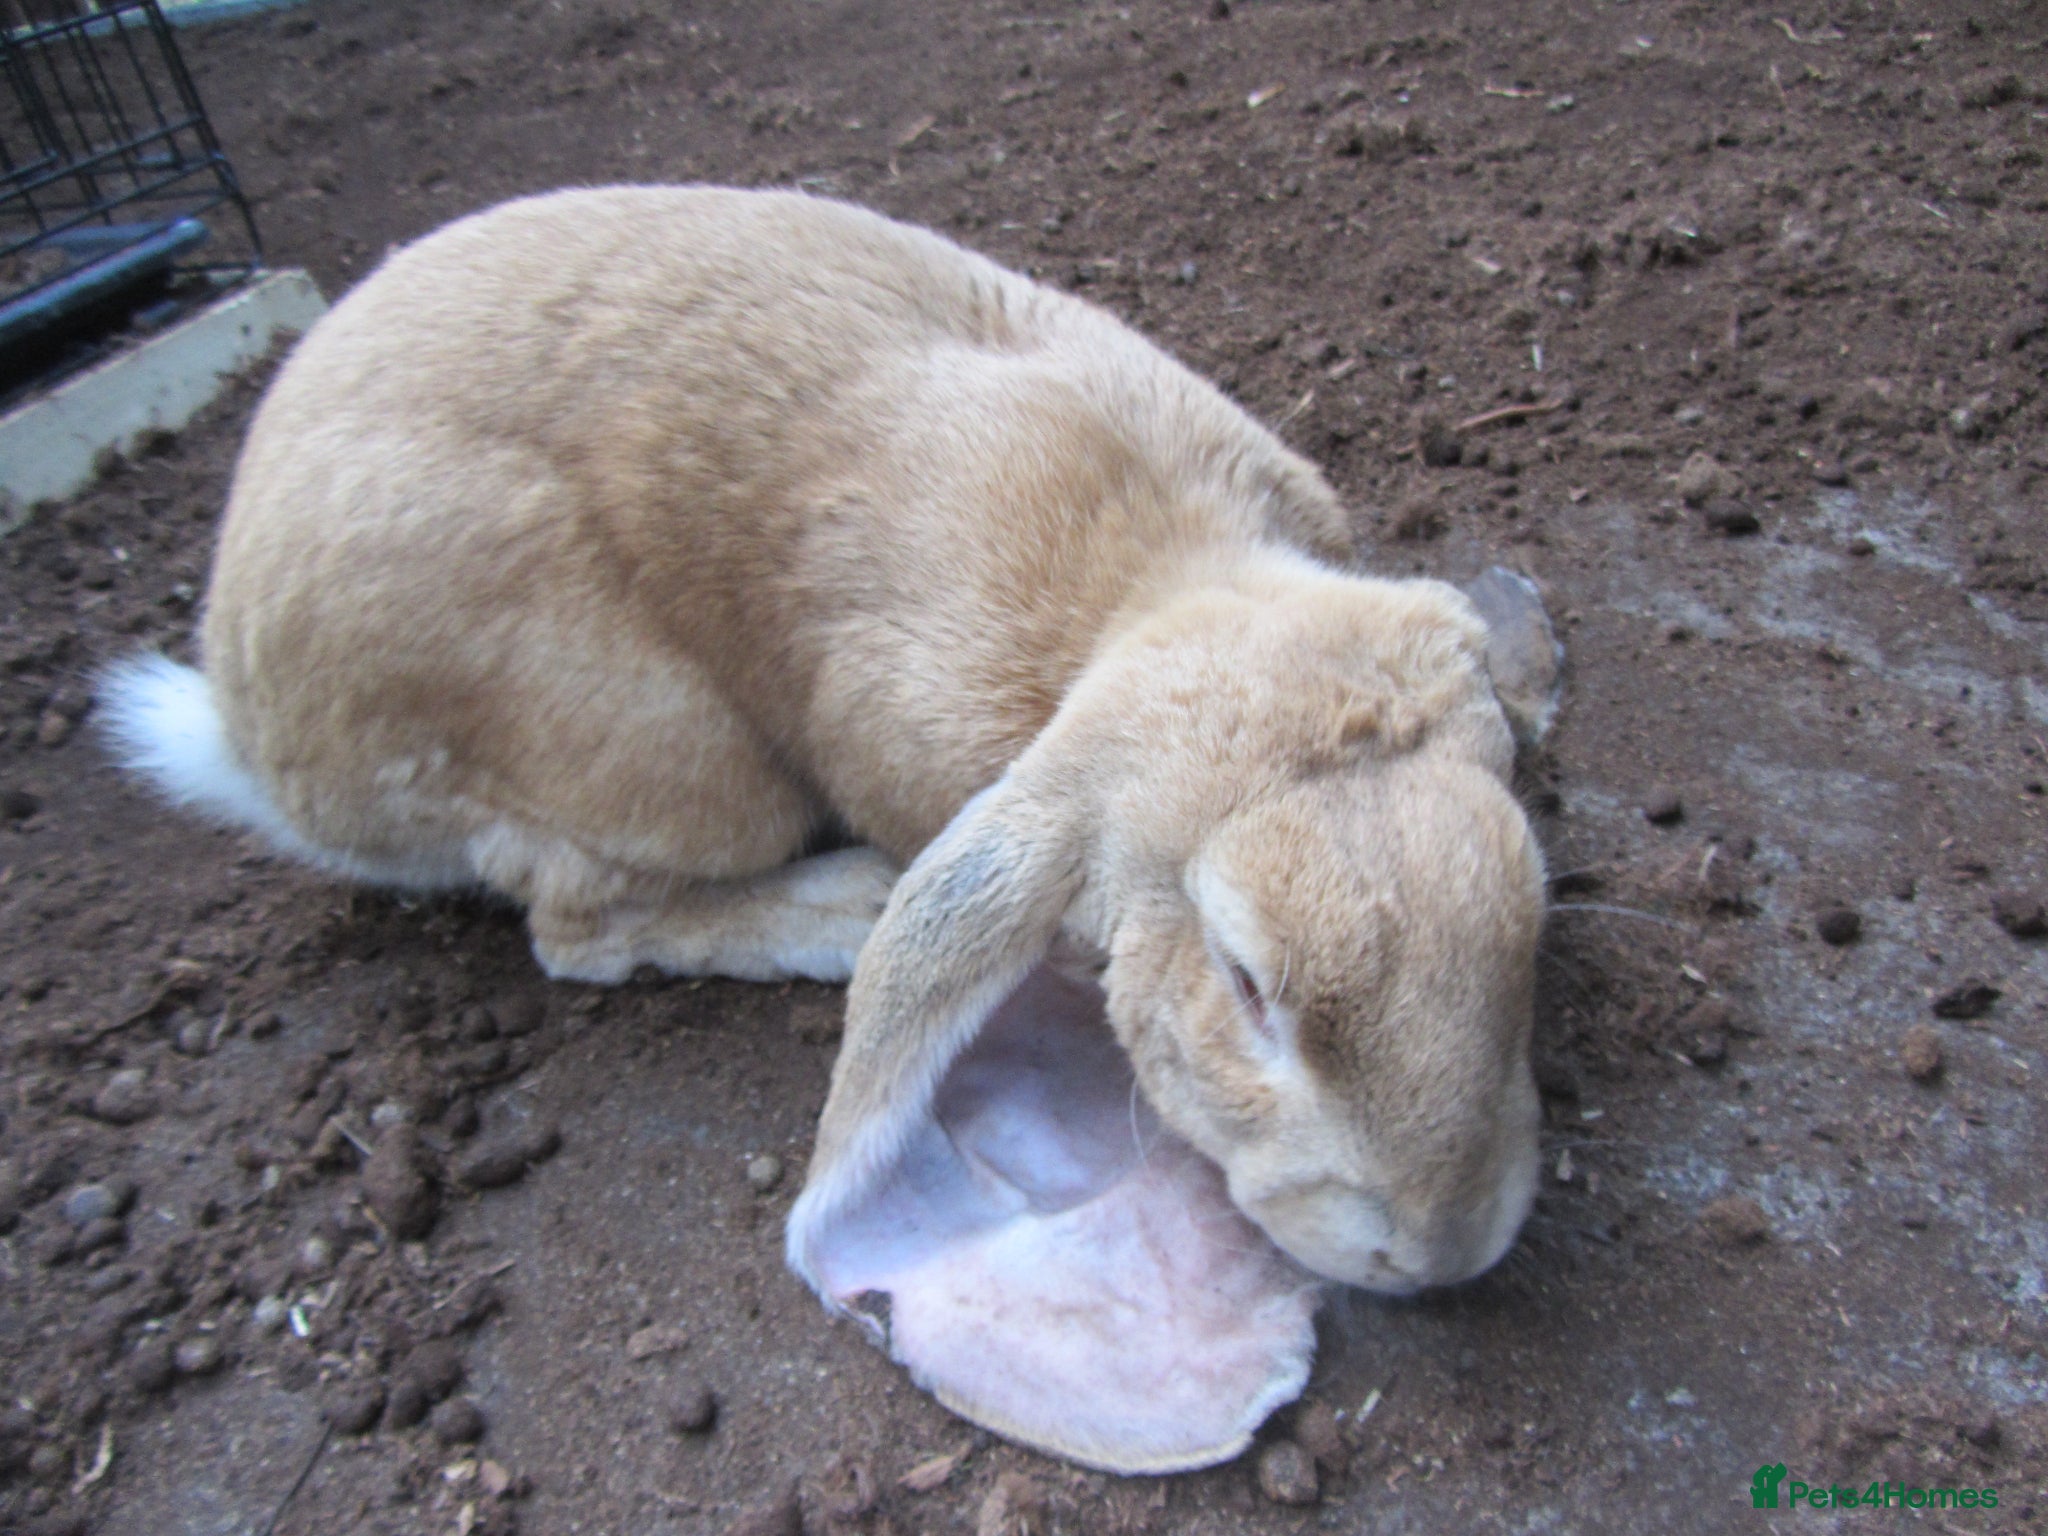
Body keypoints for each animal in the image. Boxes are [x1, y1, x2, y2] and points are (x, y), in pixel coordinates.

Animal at [103, 185, 1562, 1301]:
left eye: (1524, 913)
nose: (1437, 1249)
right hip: (661, 756)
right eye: (1246, 981)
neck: (1160, 586)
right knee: (577, 926)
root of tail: (251, 721)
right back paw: (840, 906)